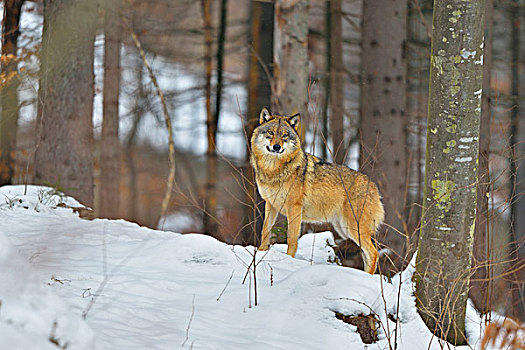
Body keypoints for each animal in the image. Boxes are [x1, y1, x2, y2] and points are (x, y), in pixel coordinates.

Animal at [248, 106, 382, 274]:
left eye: (284, 135)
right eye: (271, 133)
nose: (277, 147)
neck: (273, 170)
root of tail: (373, 186)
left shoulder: (294, 208)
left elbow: (292, 239)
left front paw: (289, 261)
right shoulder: (270, 204)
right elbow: (265, 231)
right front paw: (261, 252)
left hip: (353, 228)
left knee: (373, 252)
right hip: (344, 229)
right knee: (367, 254)